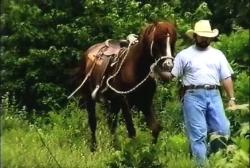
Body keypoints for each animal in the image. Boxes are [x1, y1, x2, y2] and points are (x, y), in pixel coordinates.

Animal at [69, 21, 177, 151]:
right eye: (157, 41)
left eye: (173, 42)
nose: (168, 65)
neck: (135, 68)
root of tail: (88, 52)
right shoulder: (123, 100)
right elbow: (131, 130)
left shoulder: (145, 102)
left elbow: (155, 128)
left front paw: (151, 151)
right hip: (90, 98)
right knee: (93, 123)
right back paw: (94, 148)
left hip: (113, 103)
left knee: (111, 124)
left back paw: (114, 147)